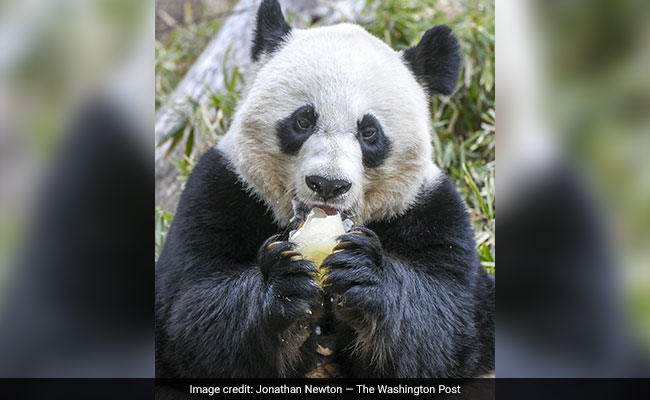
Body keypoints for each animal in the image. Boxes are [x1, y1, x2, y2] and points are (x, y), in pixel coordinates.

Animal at [156, 0, 494, 378]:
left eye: (369, 132)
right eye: (303, 121)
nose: (328, 184)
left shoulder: (433, 212)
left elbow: (448, 323)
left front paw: (364, 276)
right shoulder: (220, 192)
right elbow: (193, 312)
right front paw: (284, 286)